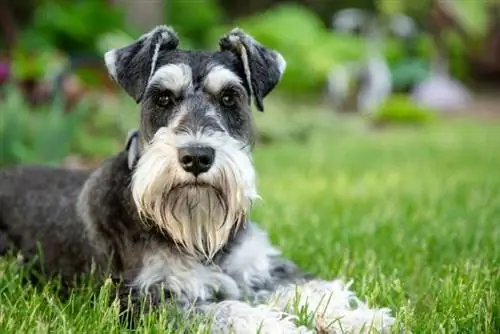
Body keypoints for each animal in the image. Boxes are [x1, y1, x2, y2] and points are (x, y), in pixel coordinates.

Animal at [0, 25, 398, 332]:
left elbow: (310, 288)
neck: (196, 232)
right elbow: (223, 310)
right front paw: (271, 323)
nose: (196, 156)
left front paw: (360, 318)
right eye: (162, 97)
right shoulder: (143, 300)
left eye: (230, 97)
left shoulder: (262, 267)